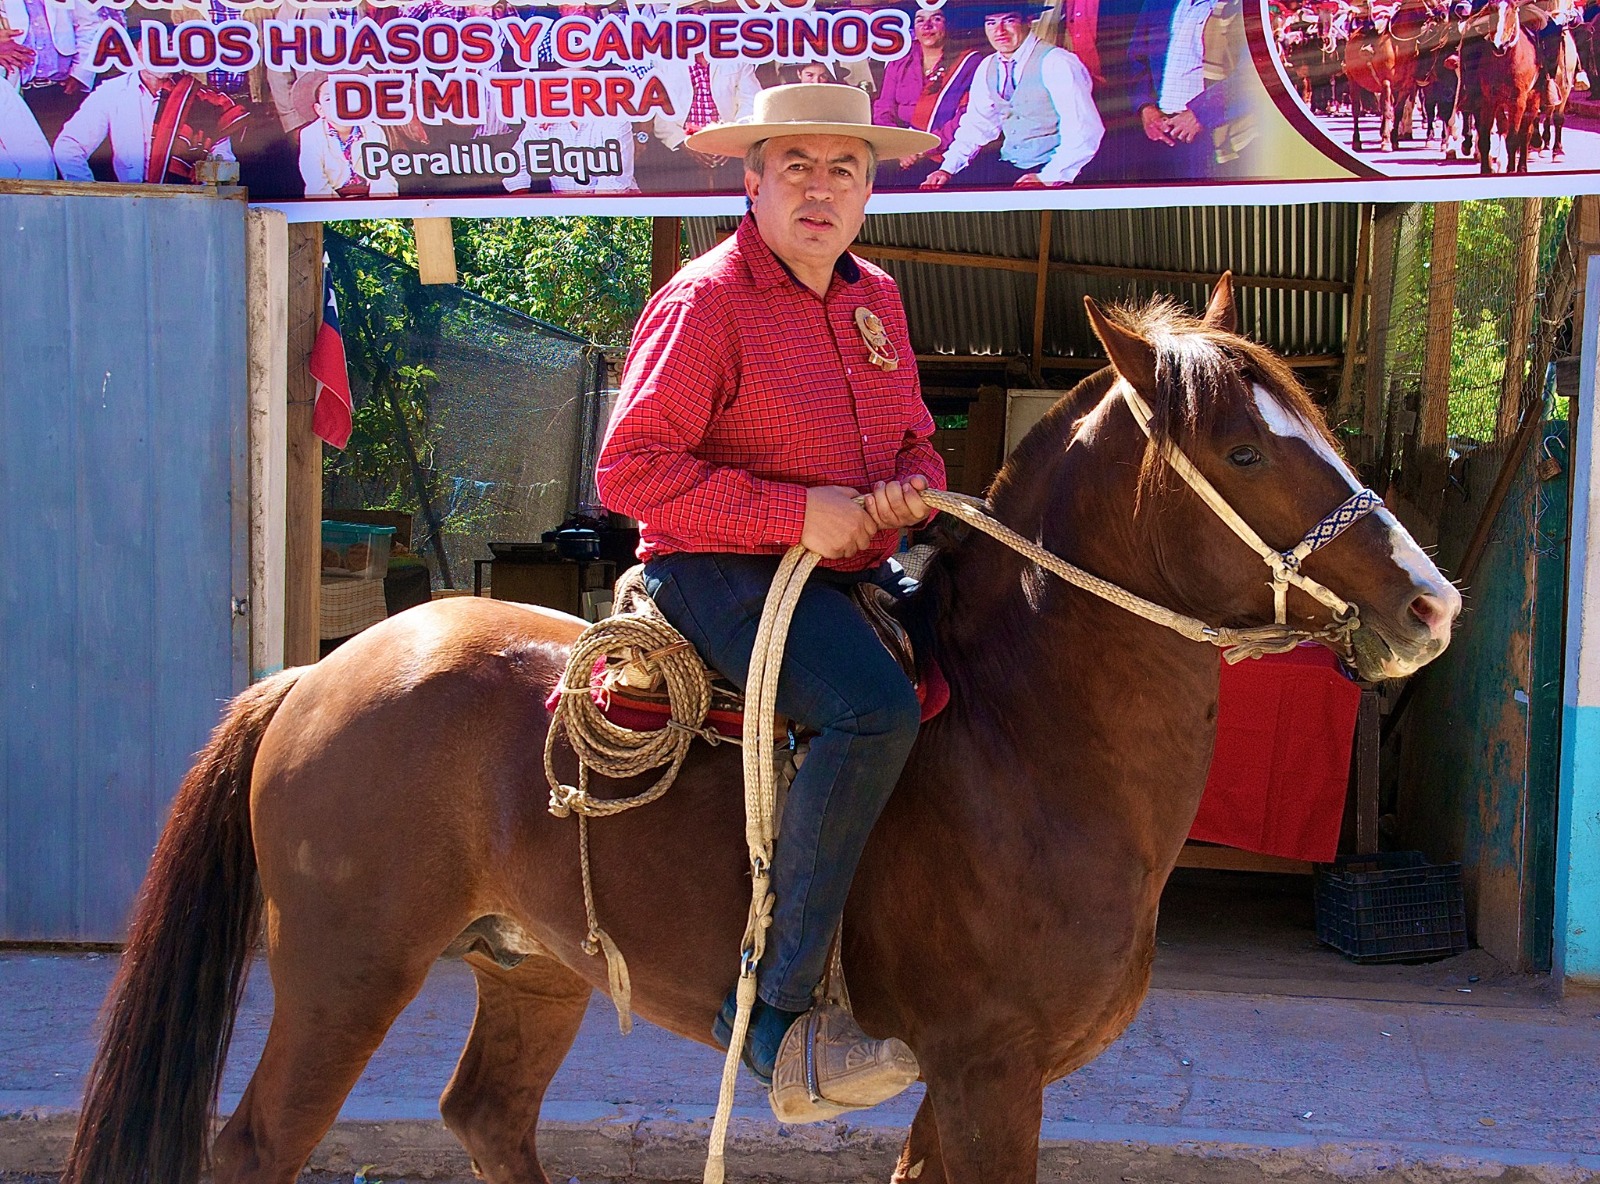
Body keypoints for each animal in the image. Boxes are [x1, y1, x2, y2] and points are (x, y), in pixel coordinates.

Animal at [65, 281, 1465, 1184]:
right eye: (1241, 447)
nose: (1430, 604)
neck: (1028, 748)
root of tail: (312, 676)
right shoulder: (988, 1074)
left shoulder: (967, 1087)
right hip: (344, 970)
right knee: (257, 1146)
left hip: (533, 965)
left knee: (488, 1118)